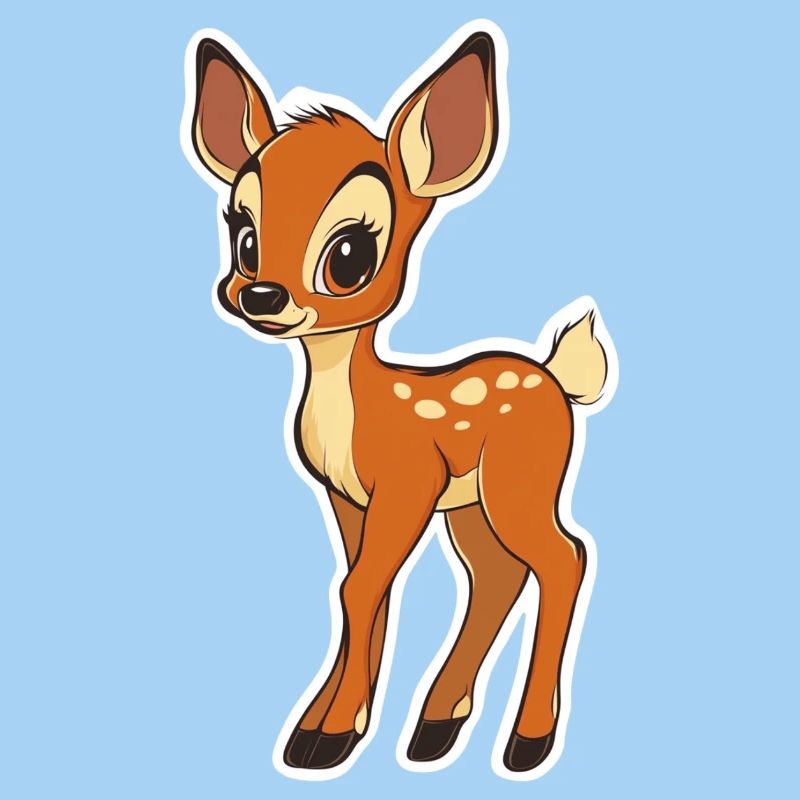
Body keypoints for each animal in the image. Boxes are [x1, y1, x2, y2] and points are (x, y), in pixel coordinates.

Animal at [183, 24, 614, 778]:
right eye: (244, 235)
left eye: (351, 254)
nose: (259, 295)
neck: (358, 408)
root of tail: (555, 378)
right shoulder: (348, 496)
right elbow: (360, 590)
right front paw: (320, 731)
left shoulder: (407, 483)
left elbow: (361, 588)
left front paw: (329, 737)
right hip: (472, 503)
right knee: (496, 575)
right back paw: (436, 727)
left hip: (521, 482)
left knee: (564, 558)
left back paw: (527, 742)